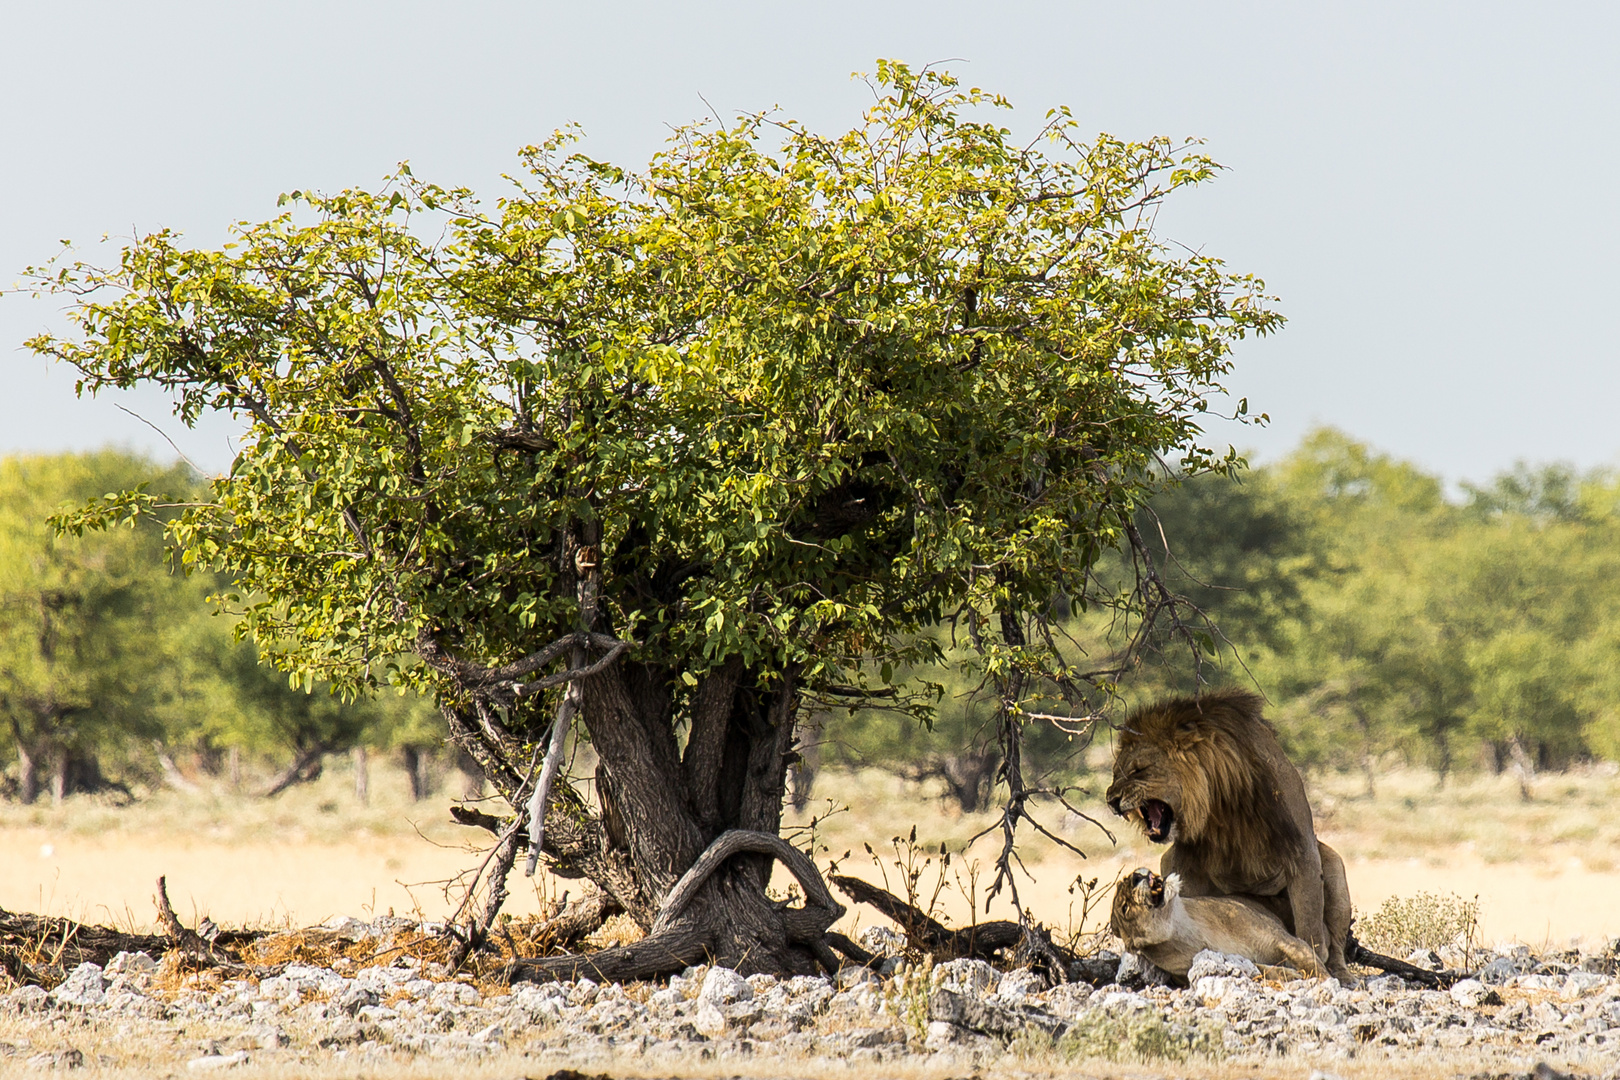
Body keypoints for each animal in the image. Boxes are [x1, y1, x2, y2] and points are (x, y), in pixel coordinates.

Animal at [1114, 867, 1328, 984]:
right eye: (1124, 908)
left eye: (1126, 880)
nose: (1135, 877)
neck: (1186, 928)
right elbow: (1262, 969)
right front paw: (1292, 975)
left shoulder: (1282, 939)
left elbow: (1311, 962)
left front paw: (1327, 981)